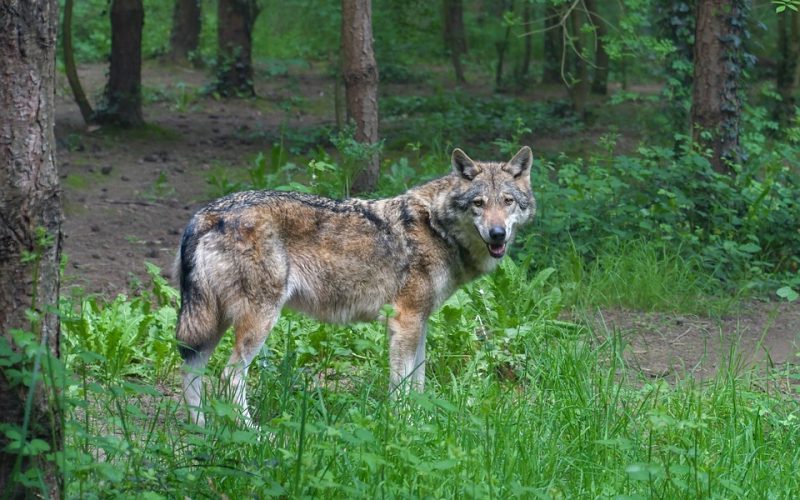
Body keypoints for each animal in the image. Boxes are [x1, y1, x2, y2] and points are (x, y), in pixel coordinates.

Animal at [175, 146, 535, 425]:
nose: (497, 234)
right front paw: (402, 426)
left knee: (191, 371)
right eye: (479, 203)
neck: (436, 227)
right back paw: (255, 434)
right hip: (257, 321)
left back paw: (202, 430)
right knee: (229, 377)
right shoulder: (404, 322)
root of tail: (206, 214)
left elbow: (418, 382)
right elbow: (401, 387)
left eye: (507, 201)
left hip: (212, 323)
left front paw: (422, 423)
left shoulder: (420, 322)